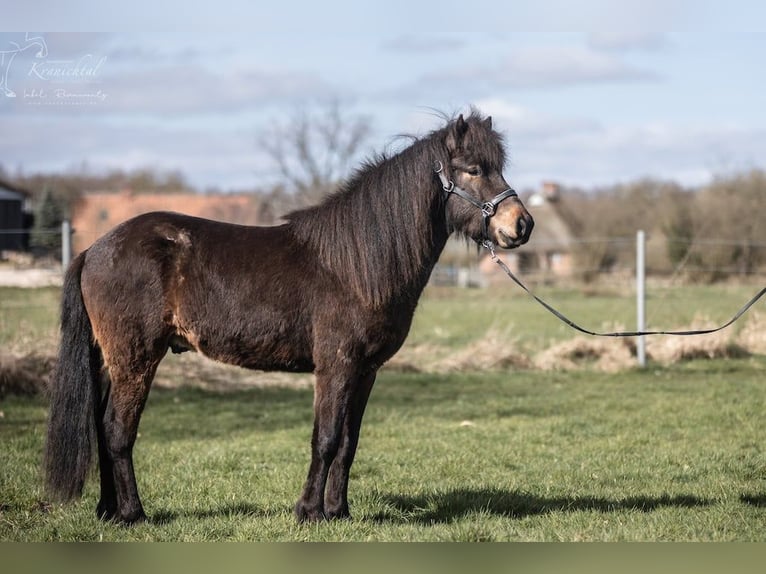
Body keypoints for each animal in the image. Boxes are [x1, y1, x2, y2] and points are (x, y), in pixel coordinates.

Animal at [43, 110, 536, 524]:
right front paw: (309, 512)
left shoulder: (366, 370)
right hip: (136, 358)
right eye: (473, 169)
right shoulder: (336, 365)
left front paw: (339, 512)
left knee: (100, 425)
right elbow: (326, 438)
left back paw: (108, 511)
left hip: (112, 359)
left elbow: (349, 444)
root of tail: (95, 249)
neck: (355, 263)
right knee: (116, 430)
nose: (522, 224)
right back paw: (133, 514)